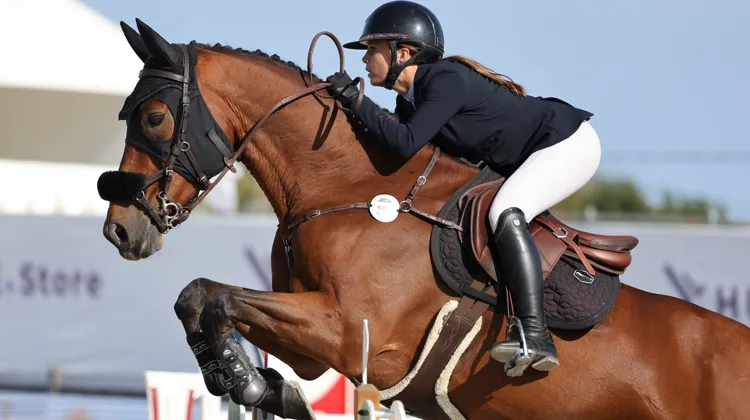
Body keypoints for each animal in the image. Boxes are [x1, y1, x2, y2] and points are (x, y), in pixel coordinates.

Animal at [97, 19, 750, 420]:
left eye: (154, 118)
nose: (119, 230)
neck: (349, 188)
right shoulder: (316, 344)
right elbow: (200, 297)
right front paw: (253, 382)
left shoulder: (345, 328)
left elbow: (214, 296)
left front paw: (251, 382)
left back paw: (531, 347)